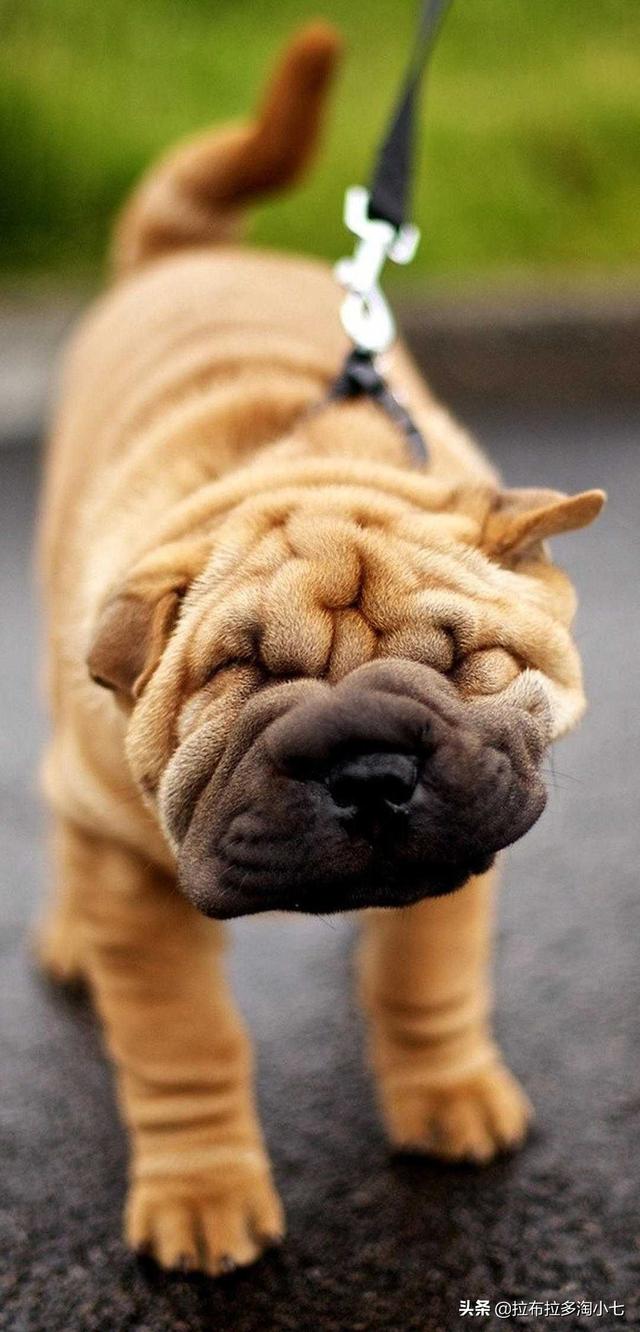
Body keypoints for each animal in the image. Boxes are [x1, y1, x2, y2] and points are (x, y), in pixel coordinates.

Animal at [36, 25, 604, 1276]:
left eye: (462, 662)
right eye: (238, 681)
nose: (371, 769)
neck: (300, 469)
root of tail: (187, 252)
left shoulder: (468, 821)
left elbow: (426, 979)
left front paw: (450, 1098)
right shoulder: (136, 878)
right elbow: (183, 1044)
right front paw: (202, 1201)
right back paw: (67, 942)